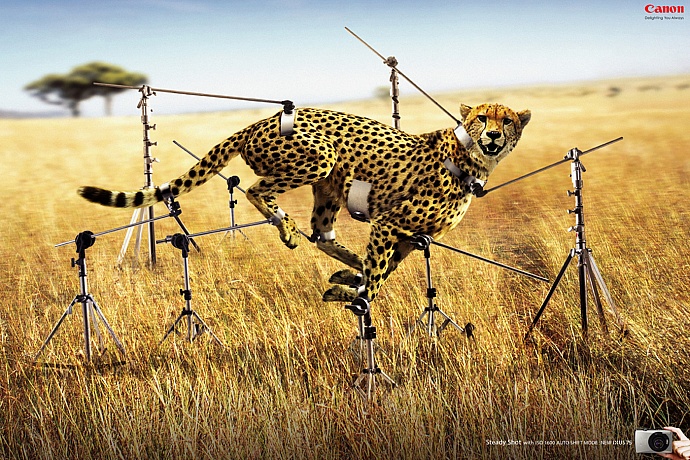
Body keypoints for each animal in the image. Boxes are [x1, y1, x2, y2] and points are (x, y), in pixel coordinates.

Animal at [78, 103, 530, 303]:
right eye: (482, 118)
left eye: (506, 120)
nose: (493, 136)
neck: (471, 159)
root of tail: (255, 122)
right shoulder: (389, 223)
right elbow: (379, 276)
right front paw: (358, 296)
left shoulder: (409, 235)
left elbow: (386, 269)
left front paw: (349, 284)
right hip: (320, 157)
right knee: (255, 190)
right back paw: (287, 228)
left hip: (329, 188)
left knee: (322, 234)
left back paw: (340, 262)